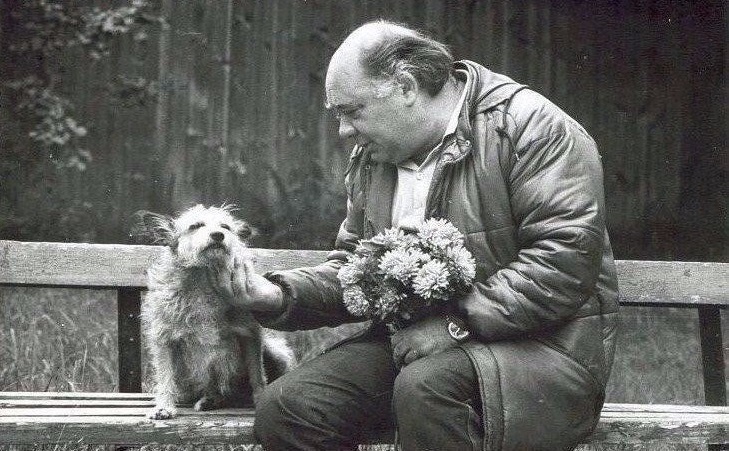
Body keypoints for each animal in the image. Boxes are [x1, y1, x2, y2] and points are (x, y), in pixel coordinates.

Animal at [135, 205, 294, 420]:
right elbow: (165, 375)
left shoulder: (249, 335)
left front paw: (260, 397)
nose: (218, 235)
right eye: (195, 226)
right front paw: (164, 406)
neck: (203, 279)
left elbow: (257, 373)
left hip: (274, 352)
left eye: (225, 226)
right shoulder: (164, 339)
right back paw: (210, 399)